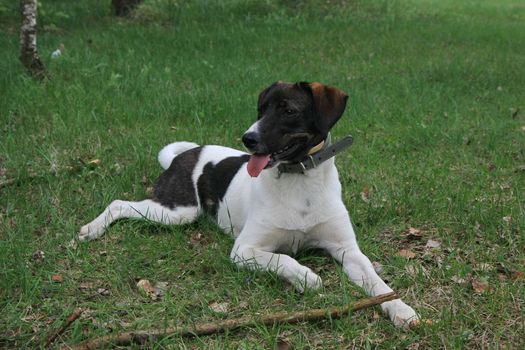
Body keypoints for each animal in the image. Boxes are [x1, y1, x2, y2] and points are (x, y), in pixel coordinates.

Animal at [79, 80, 418, 326]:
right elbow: (283, 259)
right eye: (261, 109)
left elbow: (378, 283)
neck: (300, 184)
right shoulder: (244, 250)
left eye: (288, 110)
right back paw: (91, 229)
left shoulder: (347, 250)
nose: (248, 139)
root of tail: (186, 153)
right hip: (176, 211)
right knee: (118, 203)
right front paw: (307, 277)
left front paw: (400, 309)